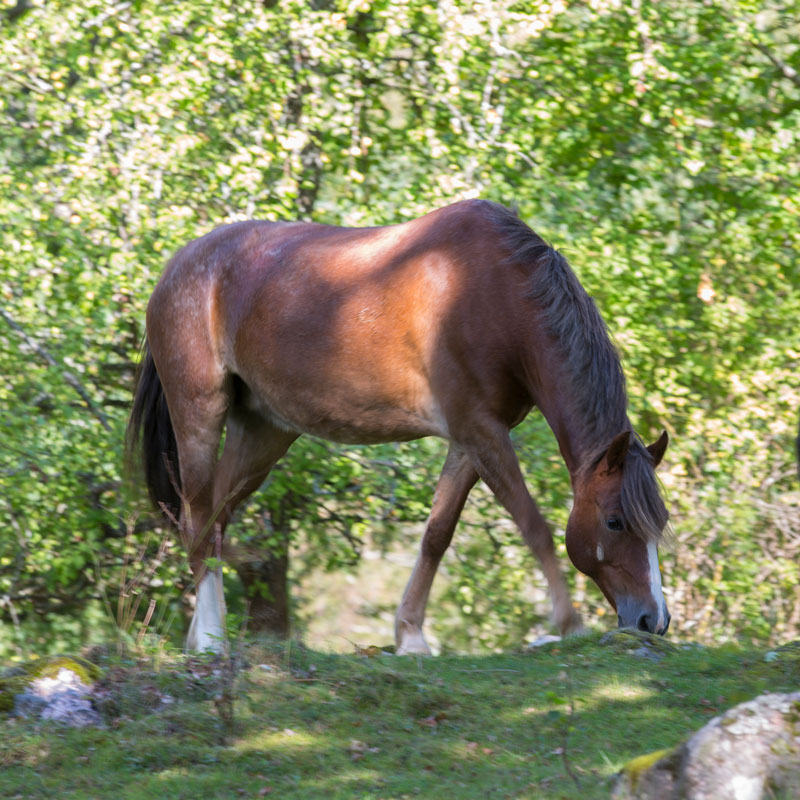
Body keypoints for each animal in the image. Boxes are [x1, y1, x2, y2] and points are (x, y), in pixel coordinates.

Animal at [128, 197, 672, 652]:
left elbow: (437, 535)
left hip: (263, 431)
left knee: (213, 521)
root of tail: (177, 267)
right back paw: (210, 639)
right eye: (614, 521)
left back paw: (203, 633)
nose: (654, 620)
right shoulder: (481, 432)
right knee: (199, 519)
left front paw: (410, 635)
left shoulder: (471, 440)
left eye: (659, 523)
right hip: (199, 414)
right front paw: (569, 623)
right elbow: (533, 524)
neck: (497, 294)